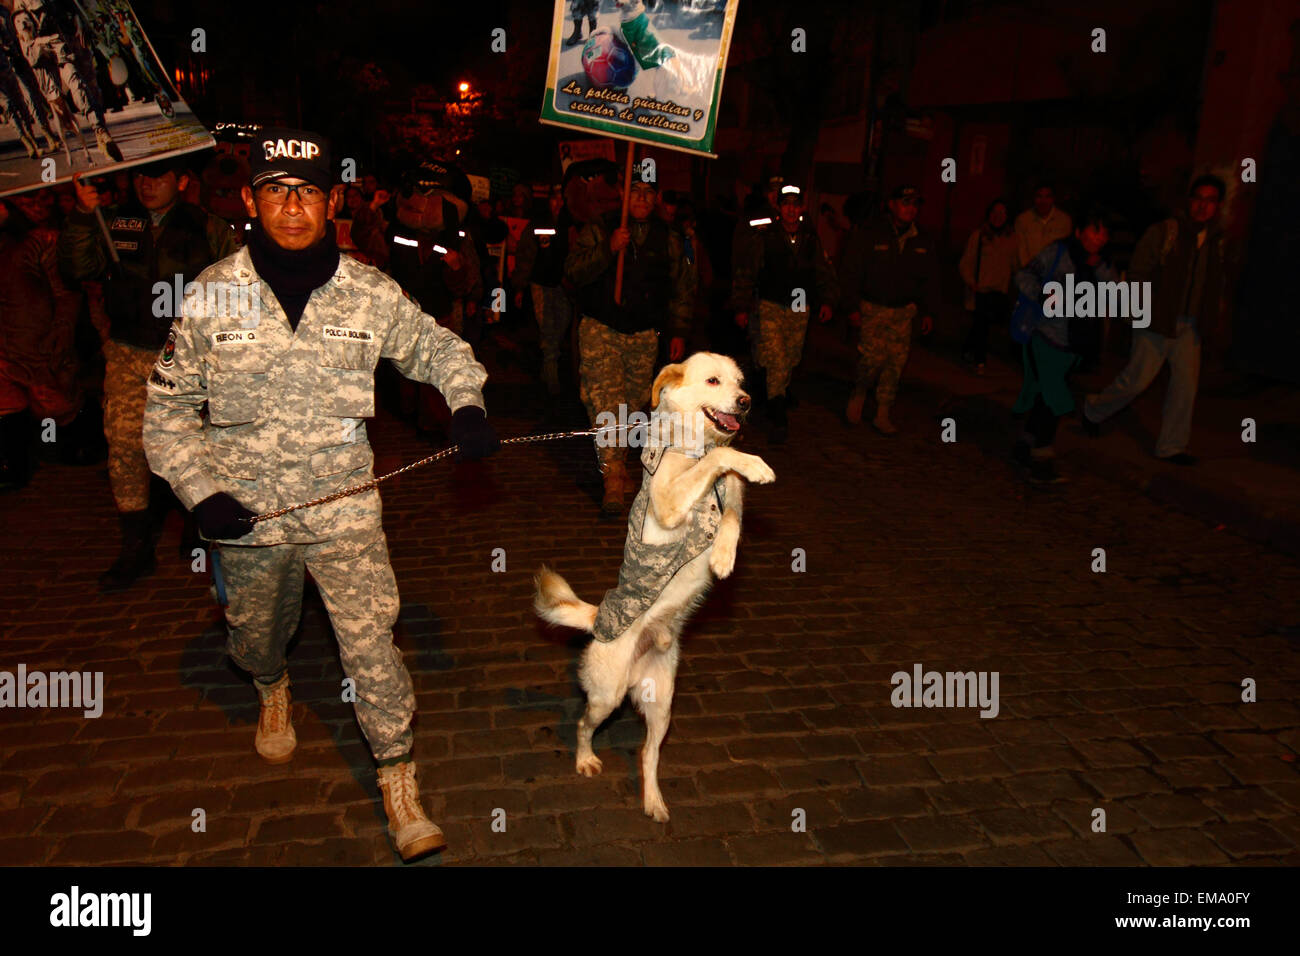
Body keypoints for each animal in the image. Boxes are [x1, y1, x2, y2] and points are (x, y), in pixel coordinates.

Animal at [535, 353, 774, 822]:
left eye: (740, 382)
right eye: (713, 381)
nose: (746, 401)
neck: (695, 443)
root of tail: (597, 618)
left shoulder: (731, 500)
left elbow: (730, 515)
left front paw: (723, 556)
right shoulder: (668, 501)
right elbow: (721, 460)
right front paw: (751, 462)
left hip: (662, 705)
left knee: (648, 755)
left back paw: (654, 801)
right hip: (606, 696)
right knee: (582, 725)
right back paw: (585, 759)